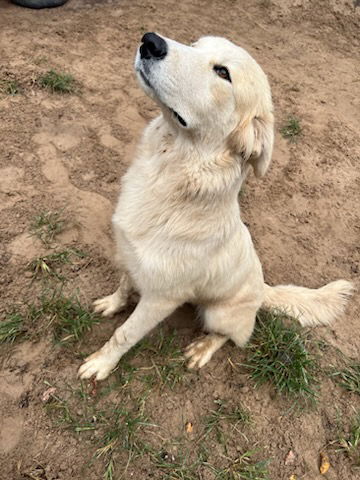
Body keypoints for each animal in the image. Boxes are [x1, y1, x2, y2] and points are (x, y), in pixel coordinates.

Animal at [78, 31, 352, 380]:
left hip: (218, 314)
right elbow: (125, 285)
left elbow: (123, 334)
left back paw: (203, 348)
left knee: (232, 336)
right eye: (195, 45)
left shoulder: (160, 299)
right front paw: (113, 304)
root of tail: (263, 289)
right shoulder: (130, 258)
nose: (150, 41)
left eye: (223, 72)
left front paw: (101, 364)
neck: (166, 174)